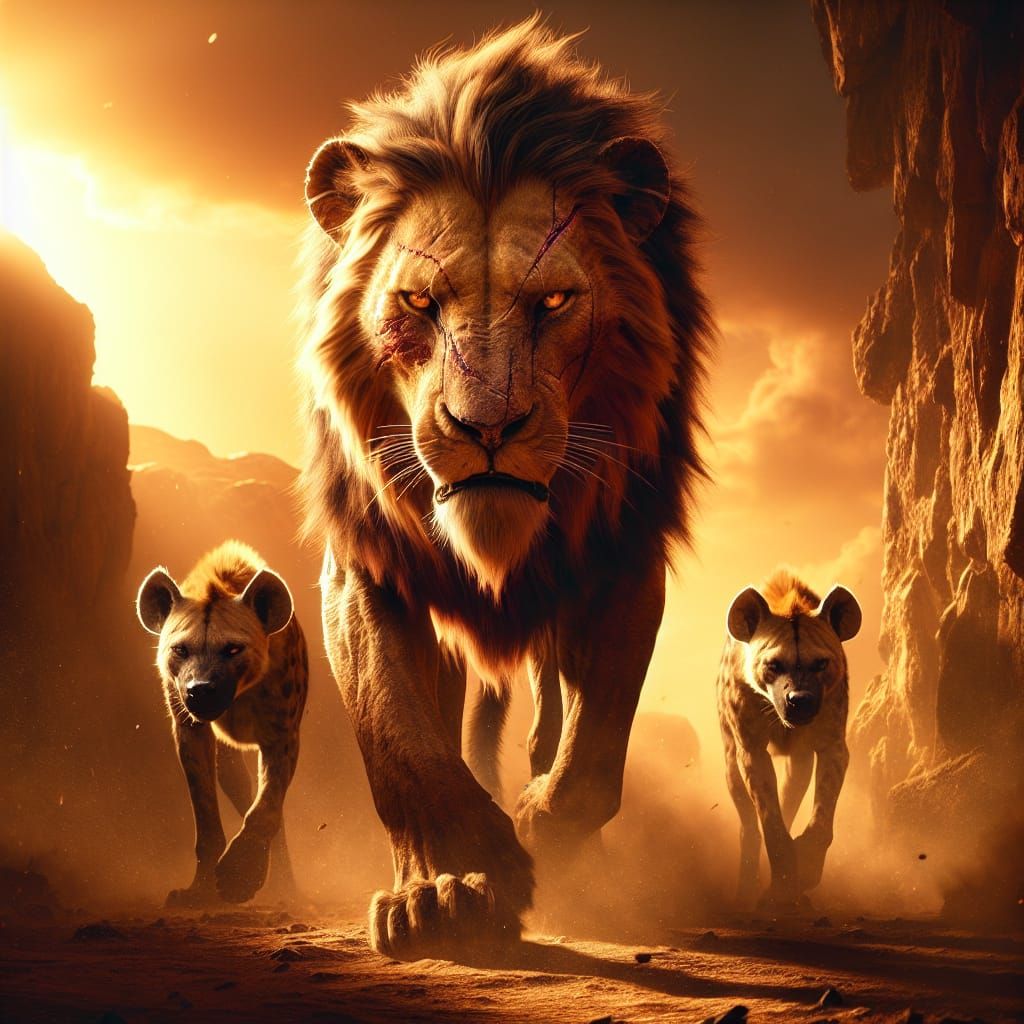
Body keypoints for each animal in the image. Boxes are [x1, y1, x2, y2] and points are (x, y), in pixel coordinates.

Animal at [300, 17, 712, 959]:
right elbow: (400, 736)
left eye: (553, 301)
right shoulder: (369, 563)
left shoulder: (624, 555)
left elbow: (593, 758)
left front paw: (539, 835)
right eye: (419, 302)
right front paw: (458, 885)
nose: (486, 428)